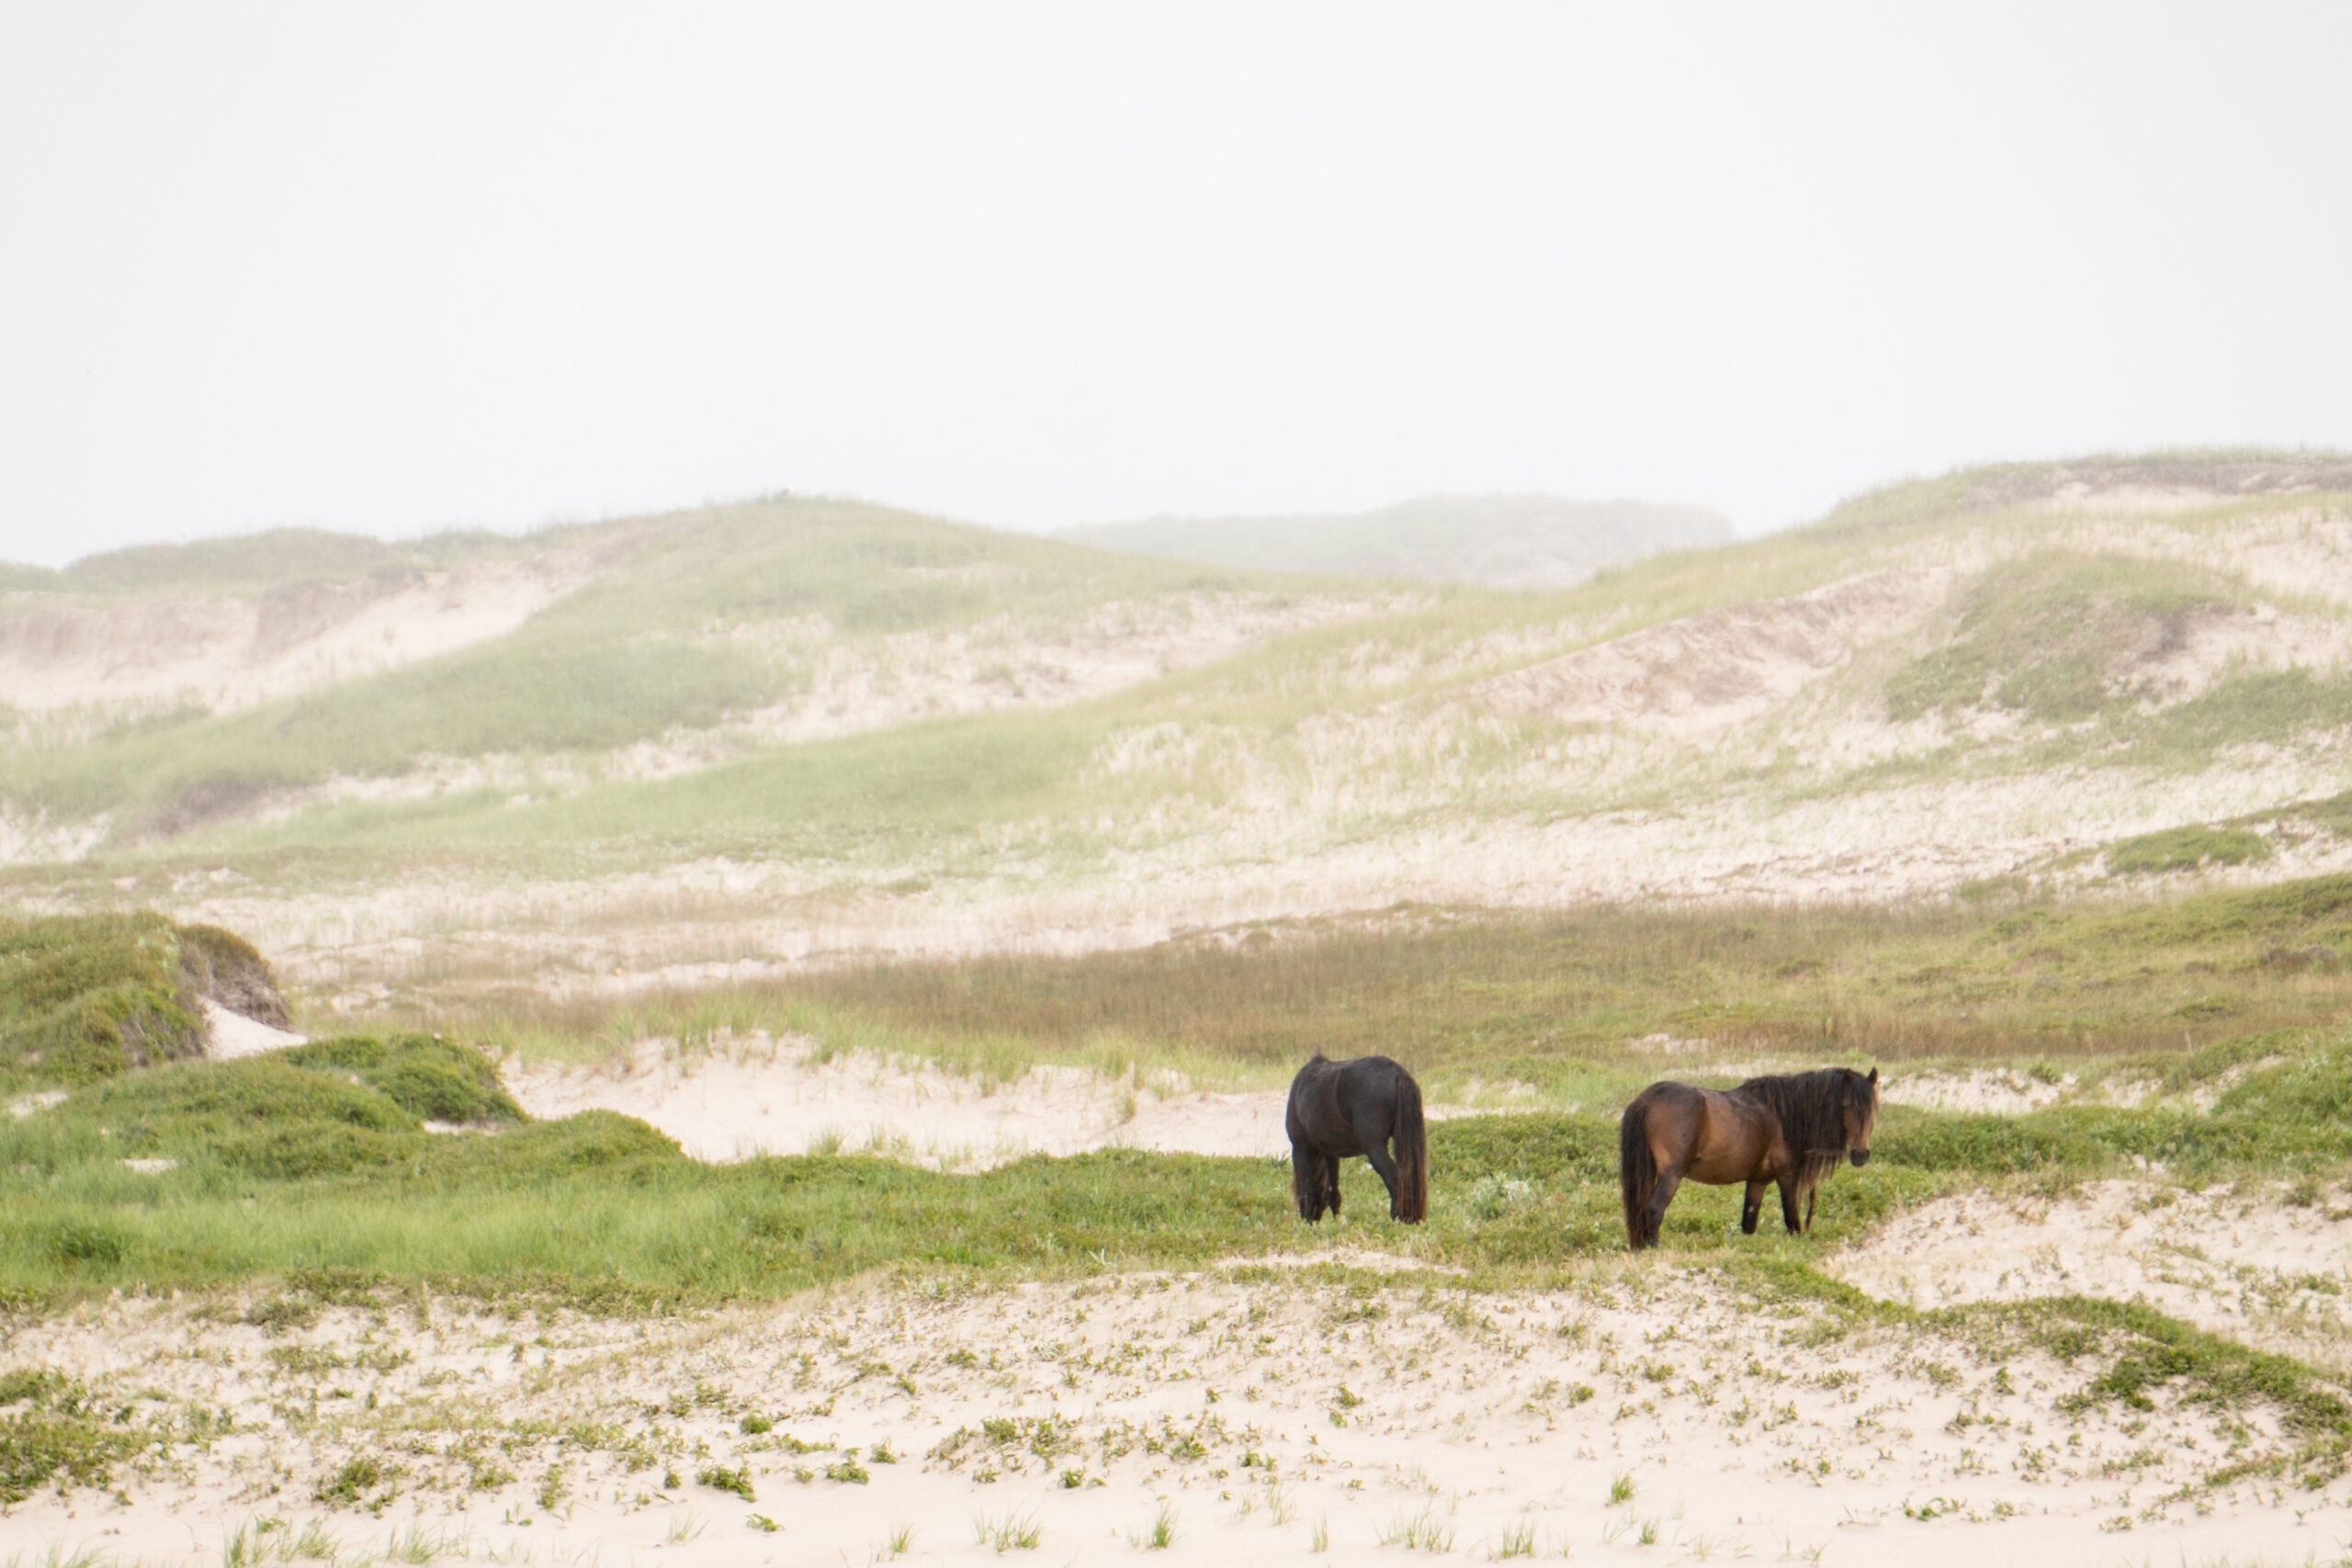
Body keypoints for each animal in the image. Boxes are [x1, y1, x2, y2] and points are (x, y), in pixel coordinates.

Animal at [1288, 1053, 1430, 1222]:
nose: (1314, 1217)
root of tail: (1398, 1072)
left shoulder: (1300, 1147)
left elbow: (1306, 1186)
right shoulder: (1331, 1152)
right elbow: (1333, 1190)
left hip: (1374, 1147)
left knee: (1395, 1179)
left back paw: (1397, 1218)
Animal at [1618, 1066, 1871, 1250]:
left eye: (1872, 1109)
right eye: (1847, 1106)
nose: (1860, 1155)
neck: (1784, 1115)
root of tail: (1648, 1099)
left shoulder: (1758, 1180)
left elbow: (1748, 1223)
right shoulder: (1787, 1176)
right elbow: (1792, 1220)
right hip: (1671, 1175)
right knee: (1654, 1209)